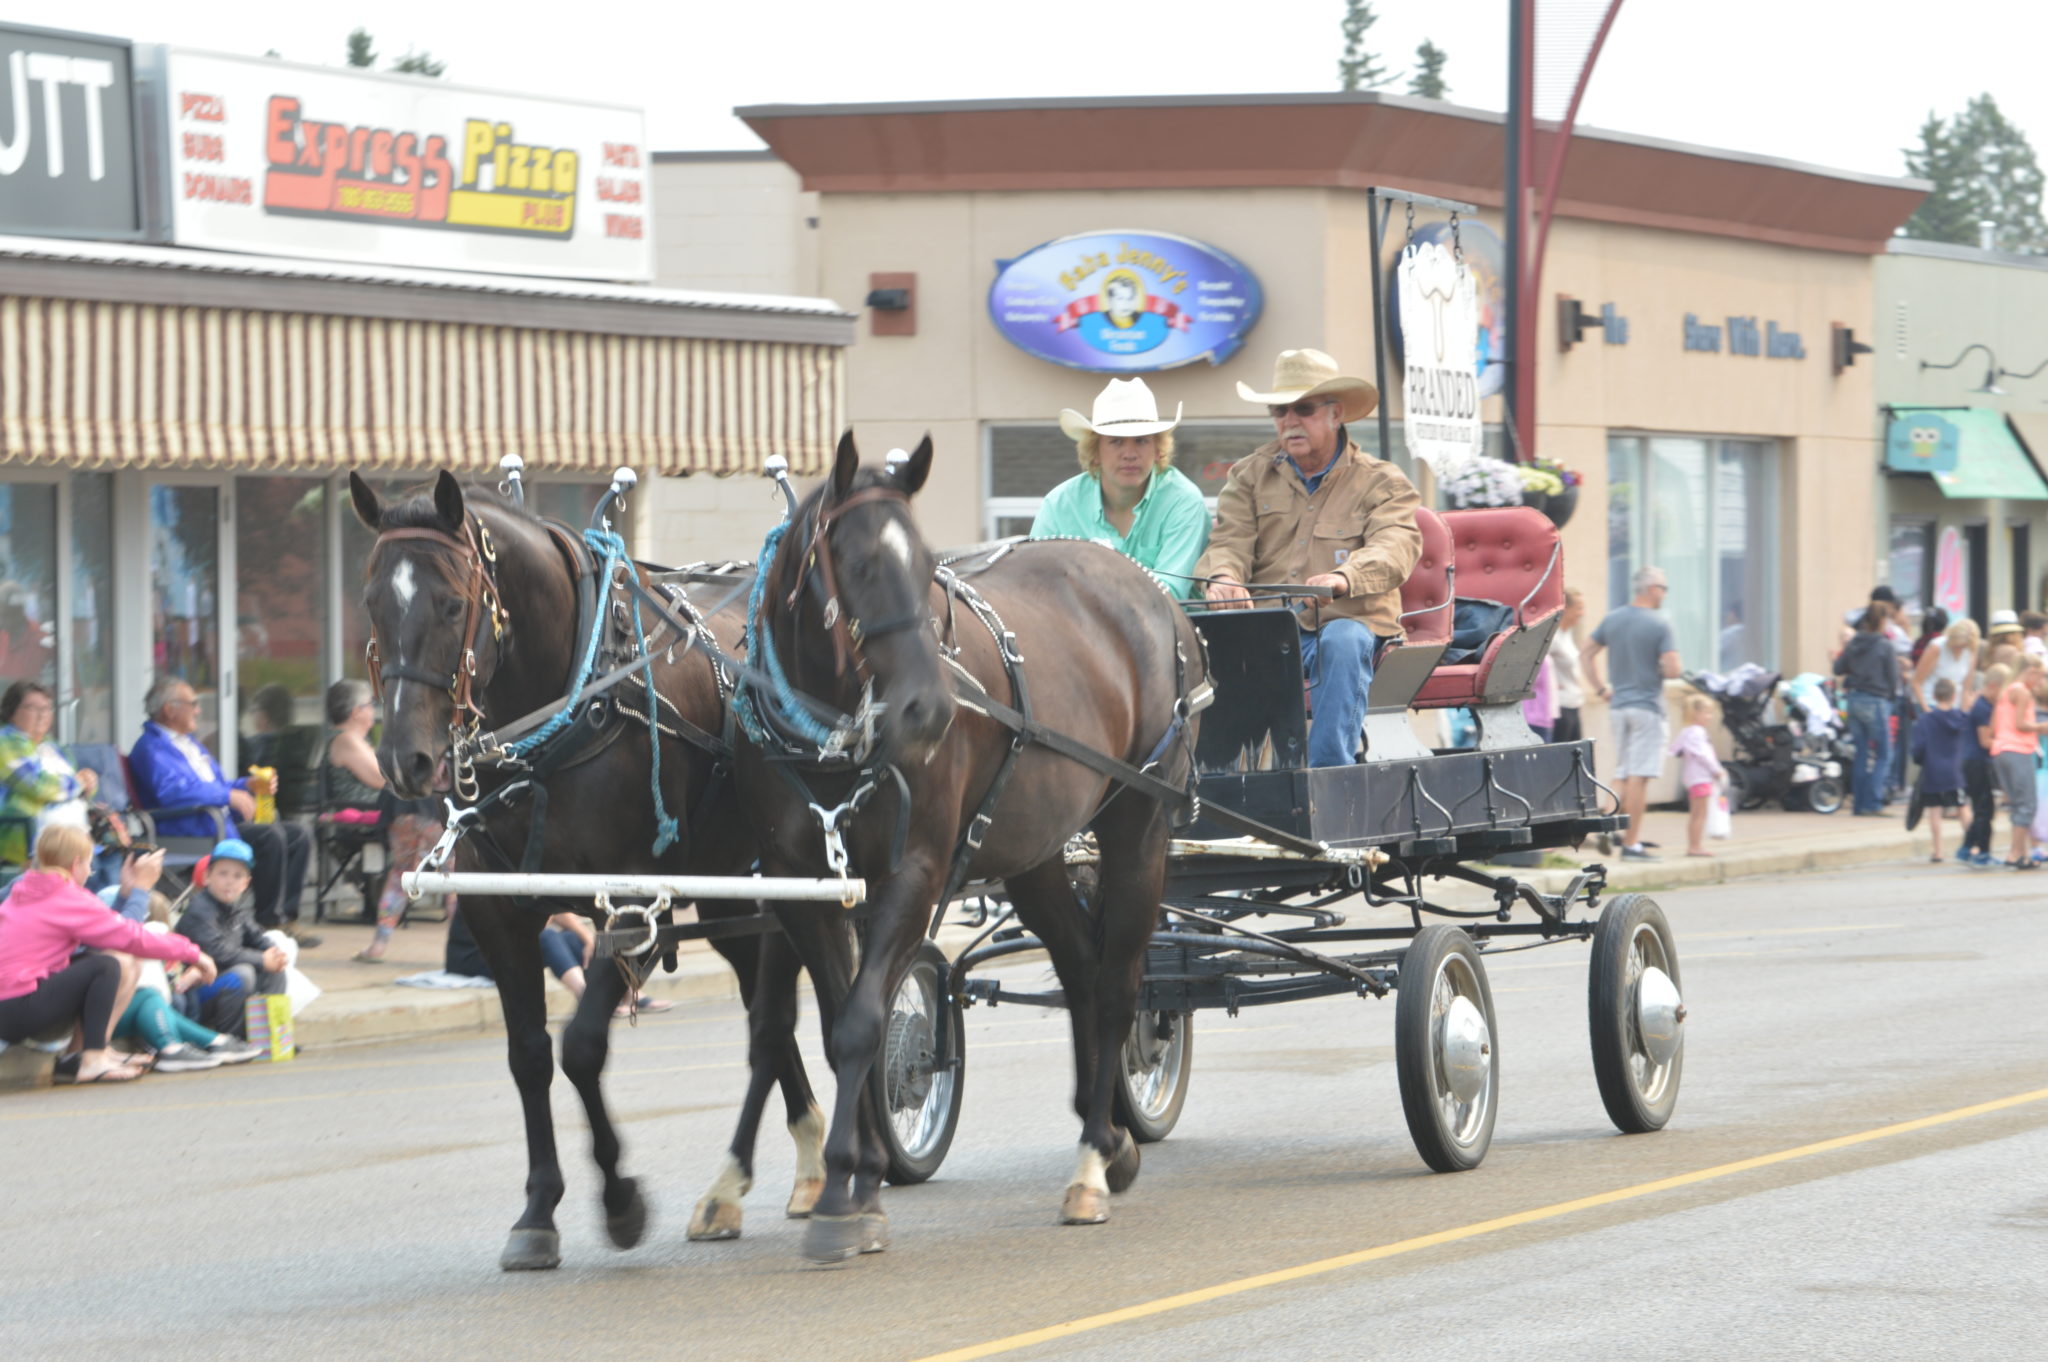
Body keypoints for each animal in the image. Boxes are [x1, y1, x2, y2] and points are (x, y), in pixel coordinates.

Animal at [349, 470, 828, 1270]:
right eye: (371, 602)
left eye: (452, 603)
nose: (405, 758)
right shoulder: (496, 911)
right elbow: (529, 1056)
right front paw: (538, 1210)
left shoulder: (631, 902)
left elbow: (581, 1048)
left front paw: (620, 1200)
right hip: (729, 896)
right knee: (771, 1022)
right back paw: (786, 1168)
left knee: (796, 1009)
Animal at [736, 432, 1207, 1262]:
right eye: (859, 563)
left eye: (929, 566)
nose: (927, 709)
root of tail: (1151, 594)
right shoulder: (803, 888)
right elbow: (836, 1023)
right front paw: (859, 1179)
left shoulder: (913, 872)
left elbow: (862, 1023)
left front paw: (841, 1194)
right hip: (1036, 852)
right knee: (1081, 970)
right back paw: (1111, 1138)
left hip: (1140, 828)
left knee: (1119, 985)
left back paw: (1093, 1161)